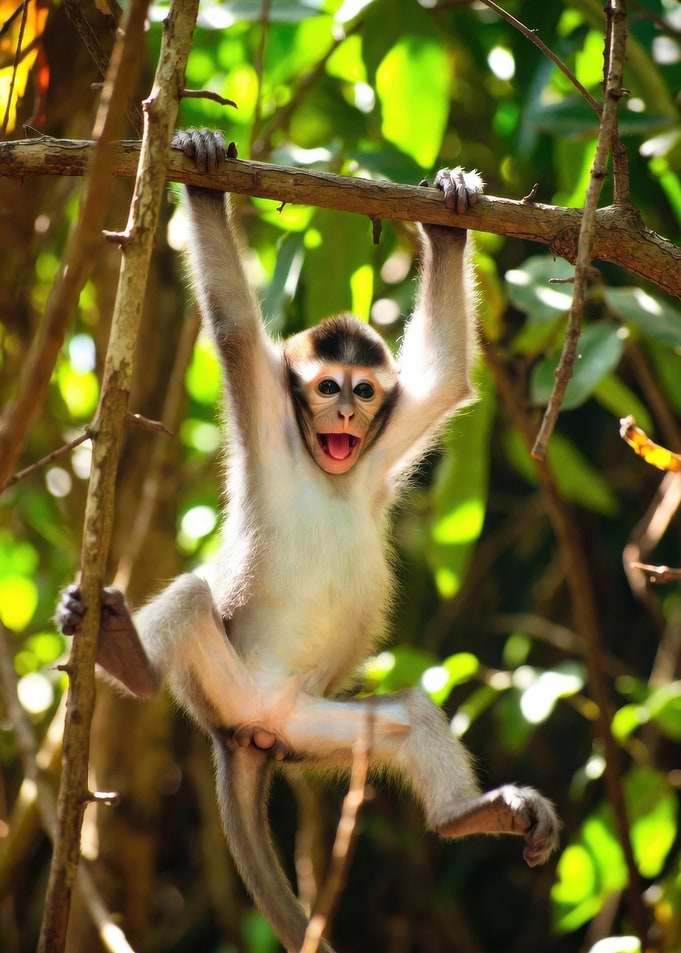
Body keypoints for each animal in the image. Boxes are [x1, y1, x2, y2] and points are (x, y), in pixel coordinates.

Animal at [57, 128, 560, 953]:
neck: (330, 470)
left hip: (310, 732)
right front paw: (201, 174)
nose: (347, 418)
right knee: (190, 598)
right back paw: (129, 660)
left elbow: (445, 375)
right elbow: (233, 325)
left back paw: (465, 815)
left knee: (407, 714)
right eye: (327, 387)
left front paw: (450, 220)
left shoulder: (379, 452)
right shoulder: (267, 416)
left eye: (364, 391)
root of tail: (248, 734)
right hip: (226, 688)